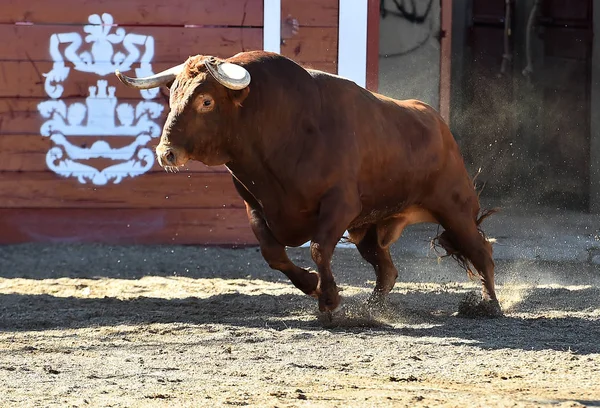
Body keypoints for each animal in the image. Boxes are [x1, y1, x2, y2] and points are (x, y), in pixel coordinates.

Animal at [115, 51, 504, 318]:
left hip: (454, 208)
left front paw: (329, 300)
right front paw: (312, 286)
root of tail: (437, 123)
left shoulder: (340, 205)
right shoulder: (255, 205)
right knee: (387, 269)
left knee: (480, 251)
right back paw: (372, 310)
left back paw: (490, 305)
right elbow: (272, 253)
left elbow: (318, 248)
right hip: (370, 228)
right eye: (172, 97)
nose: (166, 153)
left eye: (206, 101)